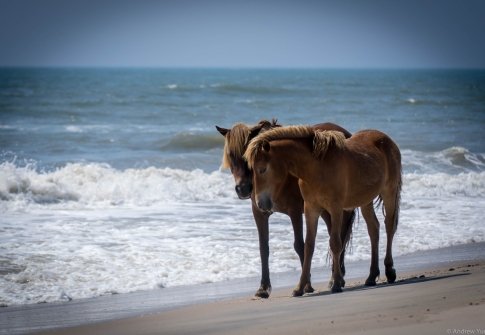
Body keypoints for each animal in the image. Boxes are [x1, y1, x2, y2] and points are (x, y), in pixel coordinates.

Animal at [216, 121, 356, 300]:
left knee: (340, 237)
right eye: (230, 155)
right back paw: (338, 277)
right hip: (325, 210)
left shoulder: (295, 212)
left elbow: (300, 245)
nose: (243, 189)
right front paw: (263, 288)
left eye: (247, 156)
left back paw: (335, 279)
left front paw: (306, 285)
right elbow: (264, 248)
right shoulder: (260, 214)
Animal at [246, 126, 400, 296]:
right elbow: (308, 246)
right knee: (374, 229)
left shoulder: (336, 208)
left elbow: (335, 243)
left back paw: (390, 271)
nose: (260, 204)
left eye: (262, 169)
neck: (317, 168)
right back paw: (372, 276)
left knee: (389, 226)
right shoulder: (311, 209)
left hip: (389, 192)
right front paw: (300, 287)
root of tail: (386, 139)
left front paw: (336, 283)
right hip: (366, 201)